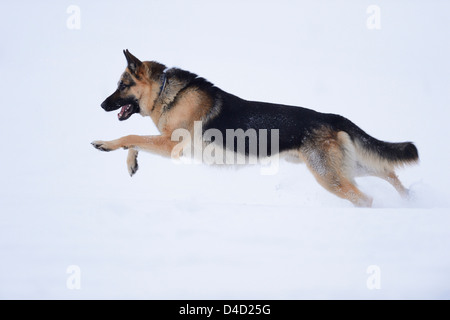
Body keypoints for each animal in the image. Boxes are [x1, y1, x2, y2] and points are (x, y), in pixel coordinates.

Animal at [91, 48, 418, 206]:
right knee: (388, 171)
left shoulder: (171, 144)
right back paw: (410, 199)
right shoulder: (166, 142)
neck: (164, 92)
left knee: (366, 197)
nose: (102, 105)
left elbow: (131, 134)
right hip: (347, 167)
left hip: (329, 177)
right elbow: (135, 140)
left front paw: (105, 144)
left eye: (122, 85)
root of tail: (331, 116)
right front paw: (131, 162)